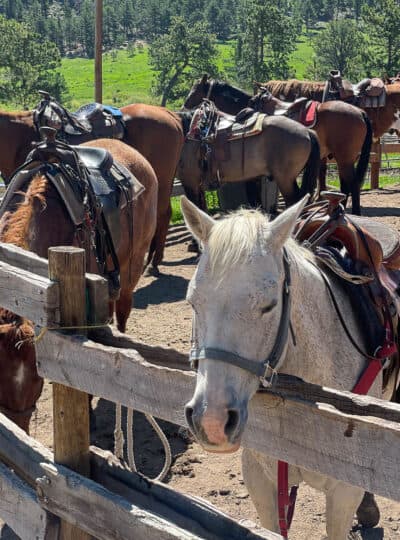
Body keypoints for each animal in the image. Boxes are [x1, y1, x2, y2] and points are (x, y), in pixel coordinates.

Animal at [184, 76, 372, 215]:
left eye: (195, 90)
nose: (184, 105)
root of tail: (360, 112)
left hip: (344, 158)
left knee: (352, 184)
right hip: (344, 159)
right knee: (347, 184)